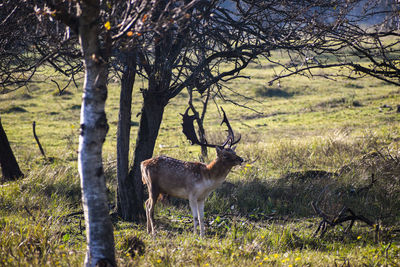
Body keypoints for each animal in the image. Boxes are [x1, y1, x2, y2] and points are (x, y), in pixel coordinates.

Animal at [141, 107, 244, 237]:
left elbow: (202, 218)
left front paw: (202, 236)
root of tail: (142, 164)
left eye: (234, 152)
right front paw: (195, 235)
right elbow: (195, 217)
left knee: (146, 203)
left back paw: (148, 230)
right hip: (152, 185)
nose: (241, 159)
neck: (207, 180)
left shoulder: (202, 197)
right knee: (150, 207)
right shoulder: (191, 194)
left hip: (156, 188)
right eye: (225, 155)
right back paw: (154, 233)